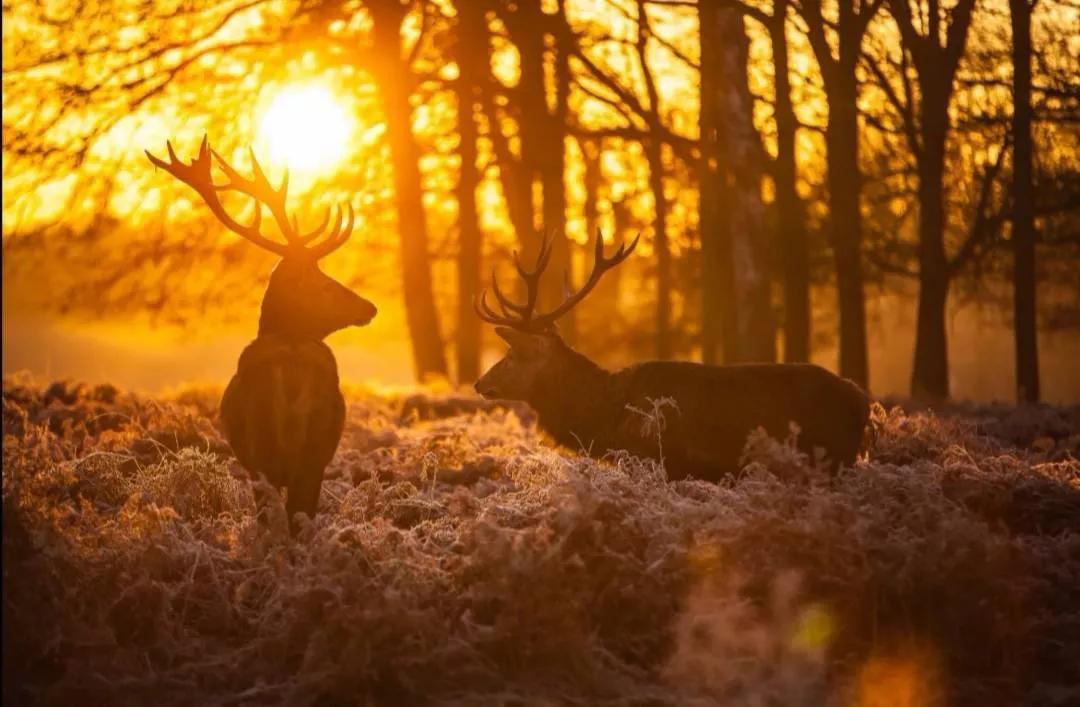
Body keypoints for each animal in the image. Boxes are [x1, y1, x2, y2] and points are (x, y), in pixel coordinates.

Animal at [473, 232, 868, 481]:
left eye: (513, 354)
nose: (480, 383)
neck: (607, 418)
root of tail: (862, 400)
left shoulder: (664, 463)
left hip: (831, 459)